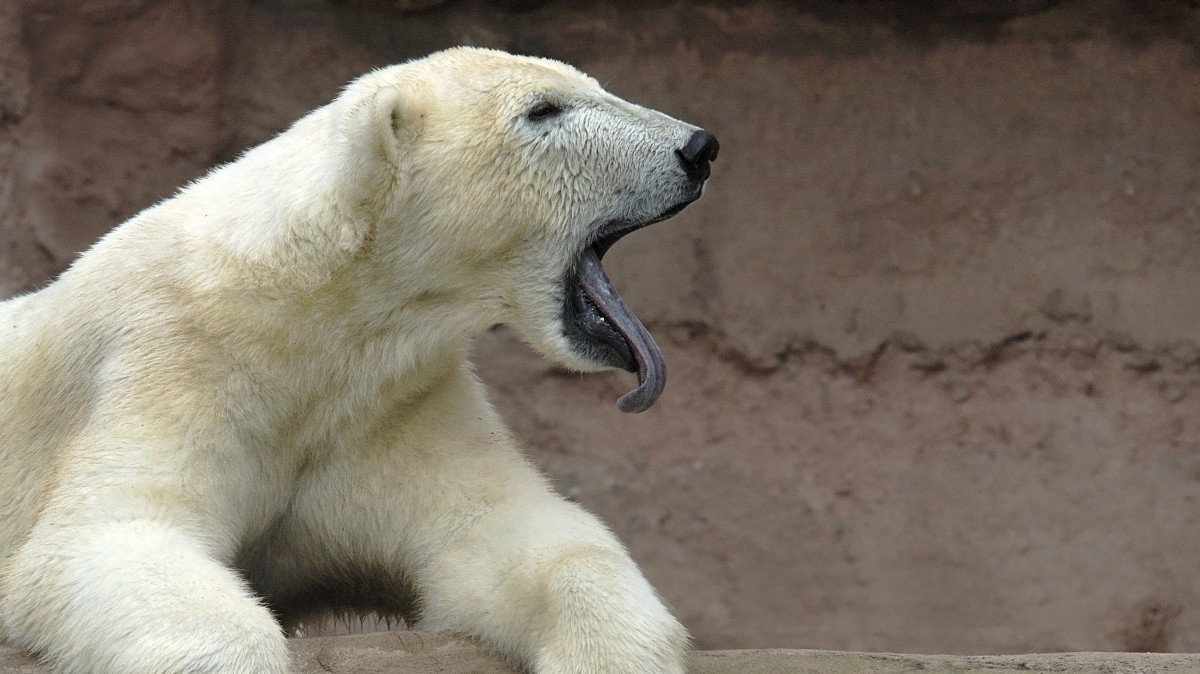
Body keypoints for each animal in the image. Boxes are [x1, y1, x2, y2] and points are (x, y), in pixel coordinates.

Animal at [0, 47, 715, 671]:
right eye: (543, 110)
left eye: (592, 85)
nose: (699, 147)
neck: (316, 315)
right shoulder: (172, 363)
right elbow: (104, 536)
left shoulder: (393, 402)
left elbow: (506, 536)